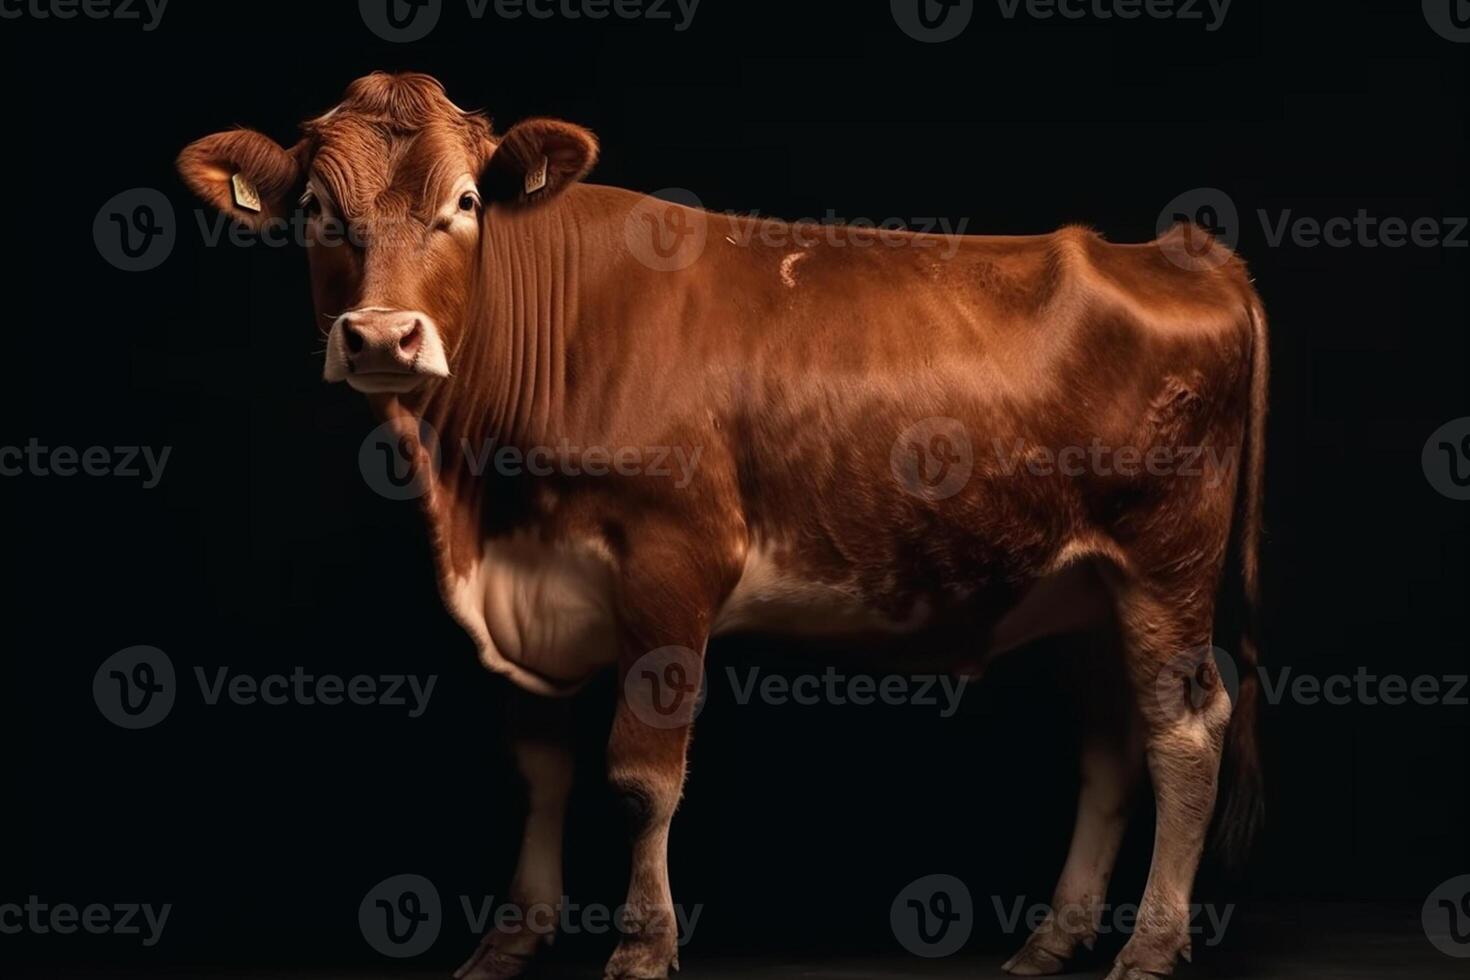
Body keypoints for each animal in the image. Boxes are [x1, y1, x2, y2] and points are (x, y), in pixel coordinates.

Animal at [180, 70, 1264, 980]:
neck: (479, 503)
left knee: (1183, 734)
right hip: (1081, 584)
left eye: (465, 205)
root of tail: (1174, 251)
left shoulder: (672, 562)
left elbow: (640, 776)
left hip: (1167, 560)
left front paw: (640, 947)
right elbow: (540, 766)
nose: (380, 338)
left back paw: (1147, 947)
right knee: (1111, 744)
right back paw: (1051, 941)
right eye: (318, 211)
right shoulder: (529, 593)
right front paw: (511, 940)